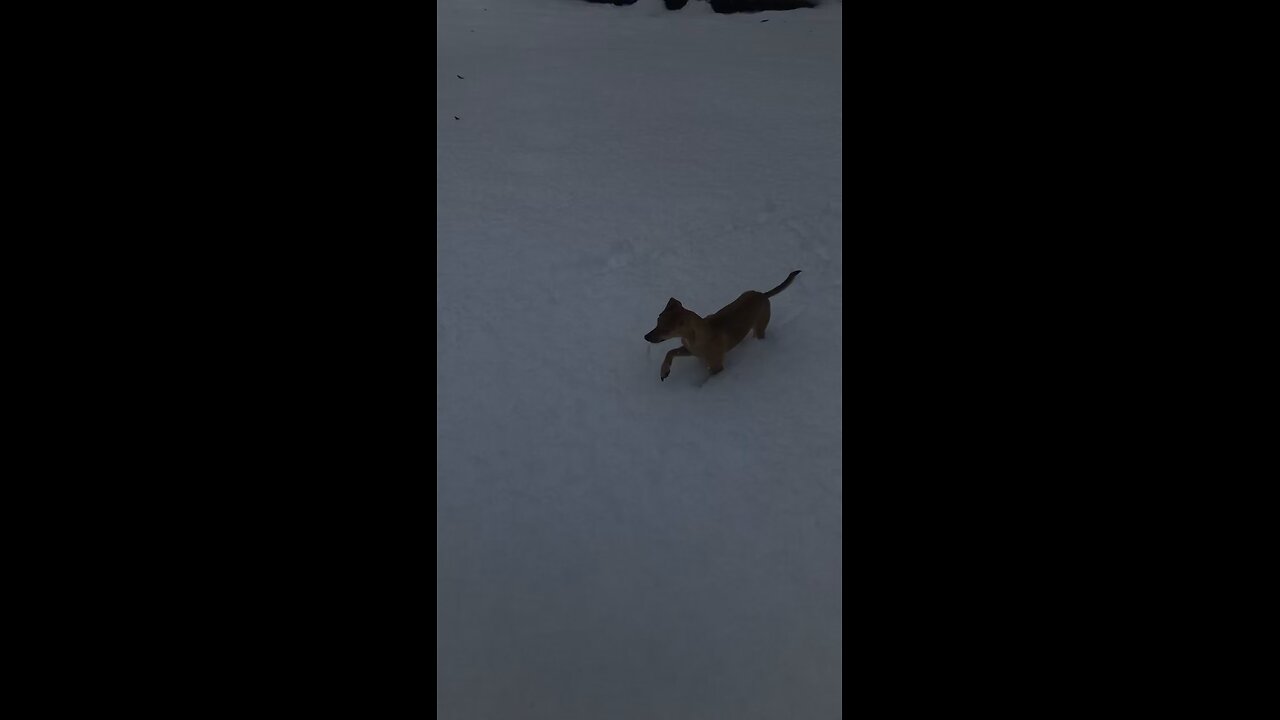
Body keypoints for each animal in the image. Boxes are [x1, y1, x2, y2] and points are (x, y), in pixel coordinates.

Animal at [650, 270, 798, 381]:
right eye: (657, 321)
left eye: (666, 330)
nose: (646, 337)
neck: (697, 336)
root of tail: (762, 295)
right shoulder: (690, 350)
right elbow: (671, 352)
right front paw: (664, 370)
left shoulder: (717, 367)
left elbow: (708, 378)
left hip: (760, 326)